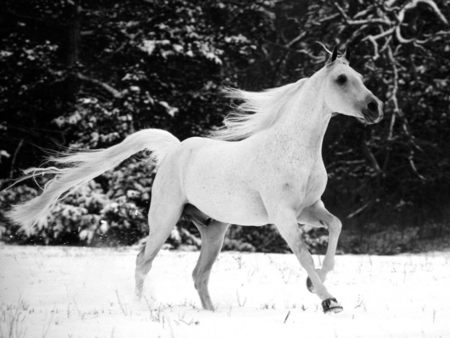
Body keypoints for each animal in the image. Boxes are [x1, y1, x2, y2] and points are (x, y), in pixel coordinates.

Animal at [7, 46, 384, 312]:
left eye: (360, 76)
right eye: (341, 79)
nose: (374, 108)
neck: (293, 149)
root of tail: (175, 150)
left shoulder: (309, 208)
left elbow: (335, 227)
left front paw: (312, 285)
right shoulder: (283, 215)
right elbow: (303, 253)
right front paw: (329, 301)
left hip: (214, 230)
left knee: (198, 275)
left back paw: (212, 314)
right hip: (164, 220)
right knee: (143, 261)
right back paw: (140, 307)